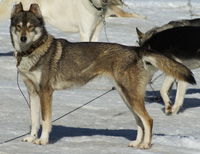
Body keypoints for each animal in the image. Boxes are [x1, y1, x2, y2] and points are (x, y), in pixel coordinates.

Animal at [9, 2, 195, 149]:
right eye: (18, 26)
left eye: (30, 27)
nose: (23, 38)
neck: (32, 52)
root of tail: (136, 50)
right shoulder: (33, 93)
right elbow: (35, 121)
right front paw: (31, 138)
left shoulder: (46, 92)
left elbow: (45, 121)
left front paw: (42, 141)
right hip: (127, 97)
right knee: (140, 122)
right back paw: (137, 143)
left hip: (131, 97)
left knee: (148, 120)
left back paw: (146, 145)